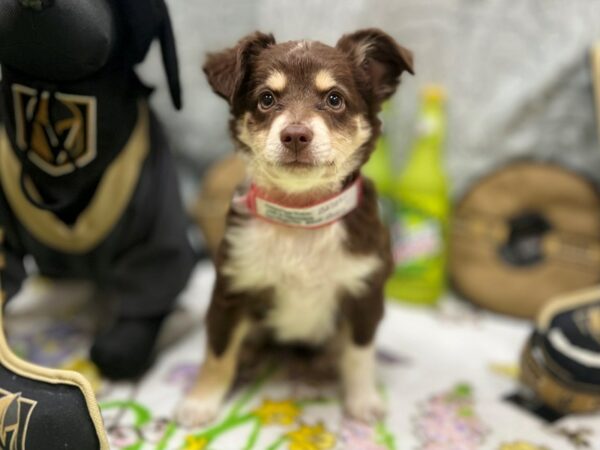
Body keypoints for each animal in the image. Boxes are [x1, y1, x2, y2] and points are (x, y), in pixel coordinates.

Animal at [176, 29, 414, 428]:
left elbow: (358, 353)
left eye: (334, 99)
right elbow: (218, 354)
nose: (296, 135)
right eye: (266, 99)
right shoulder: (231, 289)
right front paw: (201, 402)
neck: (300, 215)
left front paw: (363, 401)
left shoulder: (365, 291)